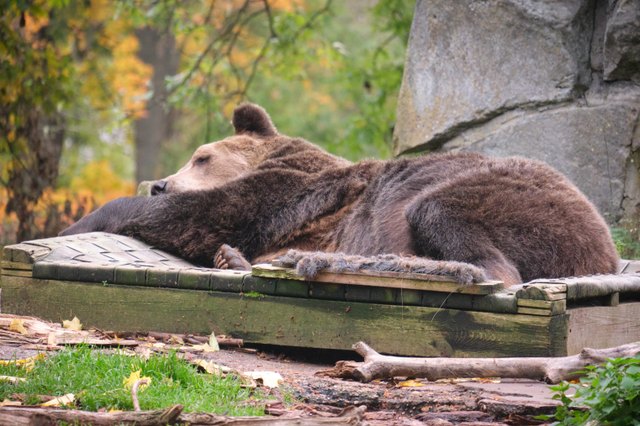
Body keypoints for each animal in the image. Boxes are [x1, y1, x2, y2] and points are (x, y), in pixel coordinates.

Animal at [60, 103, 620, 285]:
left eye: (201, 156)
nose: (160, 181)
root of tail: (605, 255)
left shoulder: (288, 190)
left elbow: (201, 215)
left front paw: (81, 219)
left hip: (515, 194)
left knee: (447, 218)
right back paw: (243, 259)